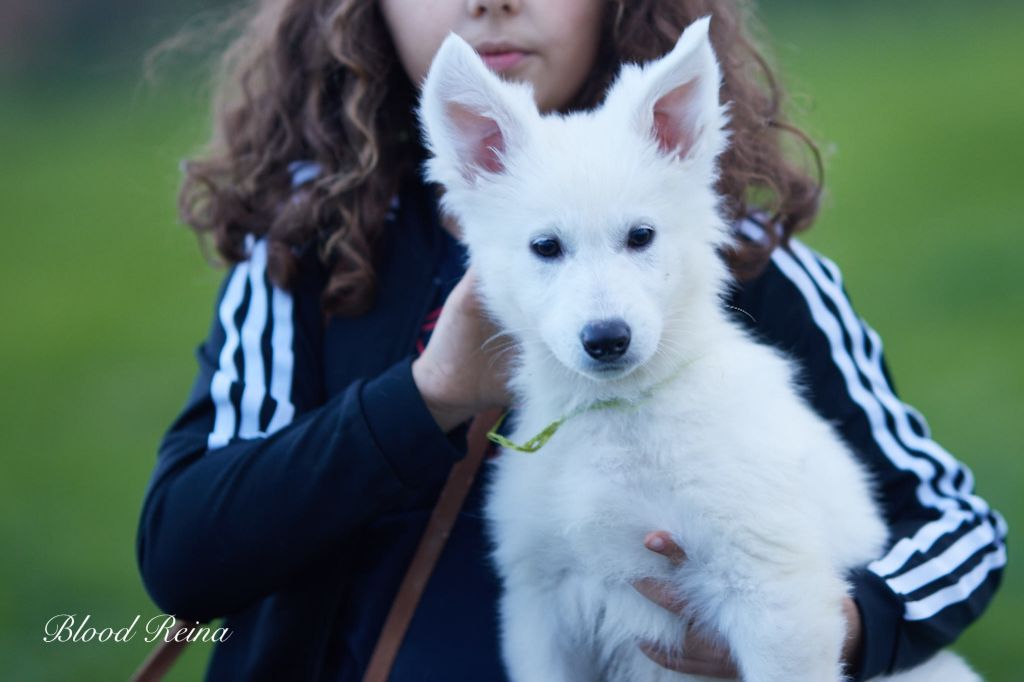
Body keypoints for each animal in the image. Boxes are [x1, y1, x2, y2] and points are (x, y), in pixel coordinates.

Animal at [419, 15, 978, 679]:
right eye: (545, 247)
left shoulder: (774, 594)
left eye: (641, 236)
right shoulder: (541, 607)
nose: (607, 339)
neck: (620, 414)